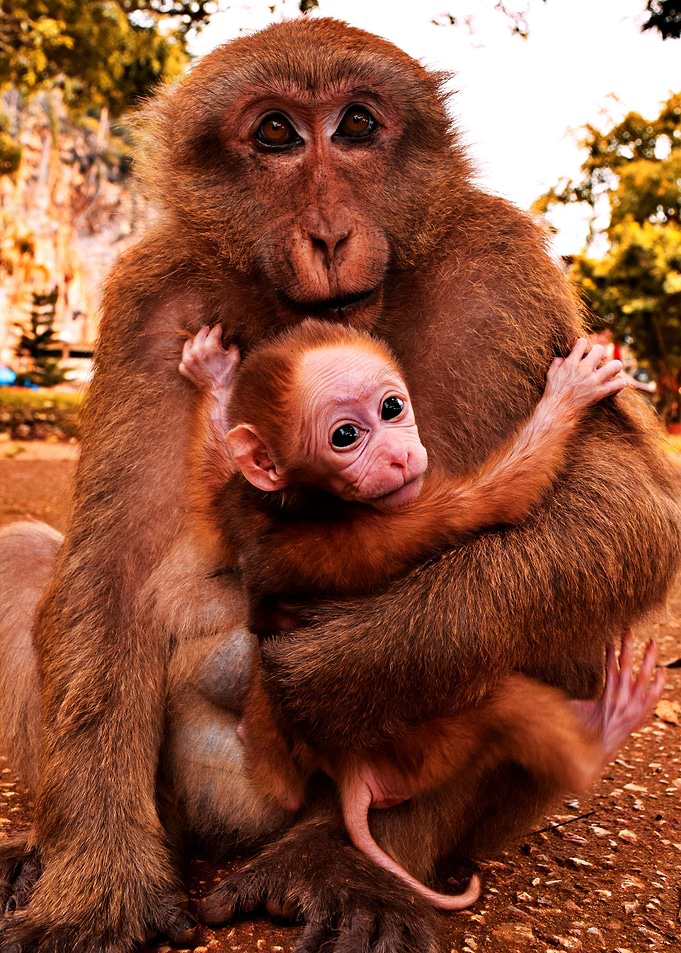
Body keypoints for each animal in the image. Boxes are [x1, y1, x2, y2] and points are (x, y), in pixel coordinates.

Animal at [175, 317, 660, 911]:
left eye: (391, 407)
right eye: (345, 436)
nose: (400, 456)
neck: (307, 501)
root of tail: (352, 778)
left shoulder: (242, 504)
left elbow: (217, 484)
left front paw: (214, 377)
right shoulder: (389, 518)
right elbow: (501, 499)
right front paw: (569, 392)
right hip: (427, 749)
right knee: (507, 703)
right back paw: (604, 731)